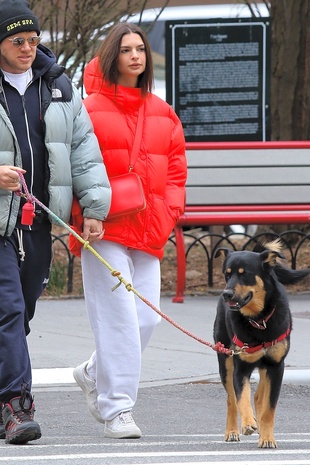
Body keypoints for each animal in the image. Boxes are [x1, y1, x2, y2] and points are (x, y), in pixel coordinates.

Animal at [213, 239, 310, 446]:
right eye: (227, 274)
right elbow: (242, 398)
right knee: (231, 399)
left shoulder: (276, 366)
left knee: (258, 397)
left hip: (265, 367)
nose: (226, 293)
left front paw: (267, 438)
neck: (258, 319)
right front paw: (249, 423)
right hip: (224, 358)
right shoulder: (240, 365)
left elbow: (269, 408)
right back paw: (232, 431)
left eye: (245, 274)